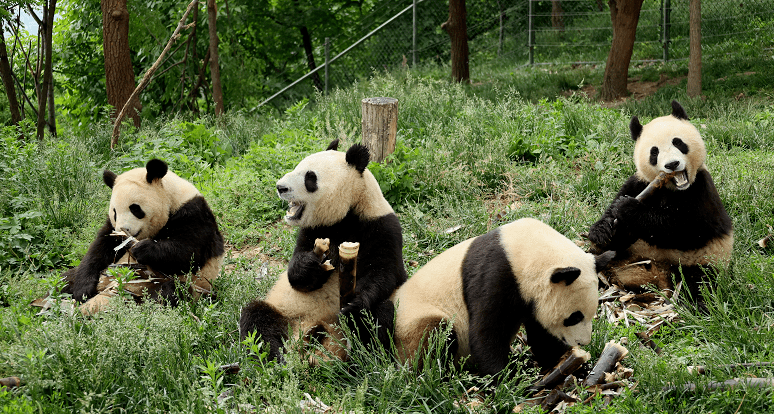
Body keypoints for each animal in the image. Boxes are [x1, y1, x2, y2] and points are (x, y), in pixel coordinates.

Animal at [241, 141, 412, 360]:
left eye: (310, 177)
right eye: (297, 167)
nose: (281, 187)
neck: (346, 215)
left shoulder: (382, 227)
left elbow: (383, 273)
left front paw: (354, 304)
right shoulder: (312, 230)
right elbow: (295, 276)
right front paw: (313, 263)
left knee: (378, 317)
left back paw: (361, 356)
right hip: (285, 310)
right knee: (256, 319)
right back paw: (275, 356)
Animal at [394, 218, 620, 376]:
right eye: (574, 317)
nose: (583, 342)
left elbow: (542, 334)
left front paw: (566, 363)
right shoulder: (495, 275)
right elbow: (487, 331)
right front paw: (506, 378)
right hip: (413, 321)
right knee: (433, 336)